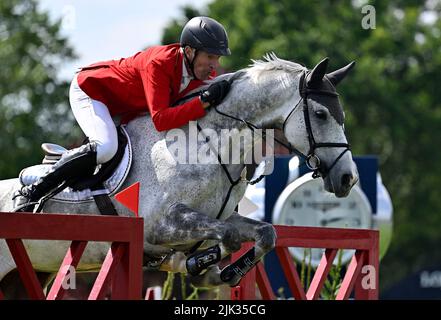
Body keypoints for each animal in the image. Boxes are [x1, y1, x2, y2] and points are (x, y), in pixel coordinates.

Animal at [0, 55, 358, 292]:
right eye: (321, 114)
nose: (348, 178)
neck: (209, 145)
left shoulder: (222, 217)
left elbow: (265, 233)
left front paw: (225, 271)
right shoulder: (160, 225)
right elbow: (227, 237)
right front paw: (196, 264)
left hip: (27, 275)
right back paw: (28, 196)